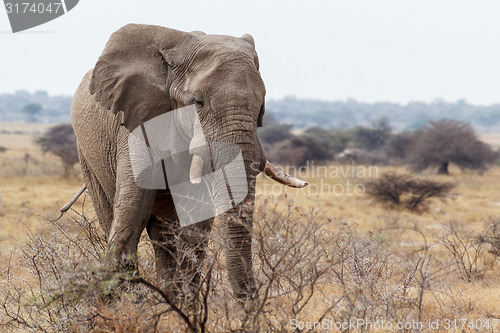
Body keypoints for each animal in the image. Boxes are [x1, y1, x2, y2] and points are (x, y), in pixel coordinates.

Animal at [68, 23, 306, 298]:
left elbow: (193, 232)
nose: (249, 303)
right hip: (86, 152)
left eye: (261, 105)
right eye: (197, 102)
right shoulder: (137, 126)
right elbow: (131, 214)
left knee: (166, 239)